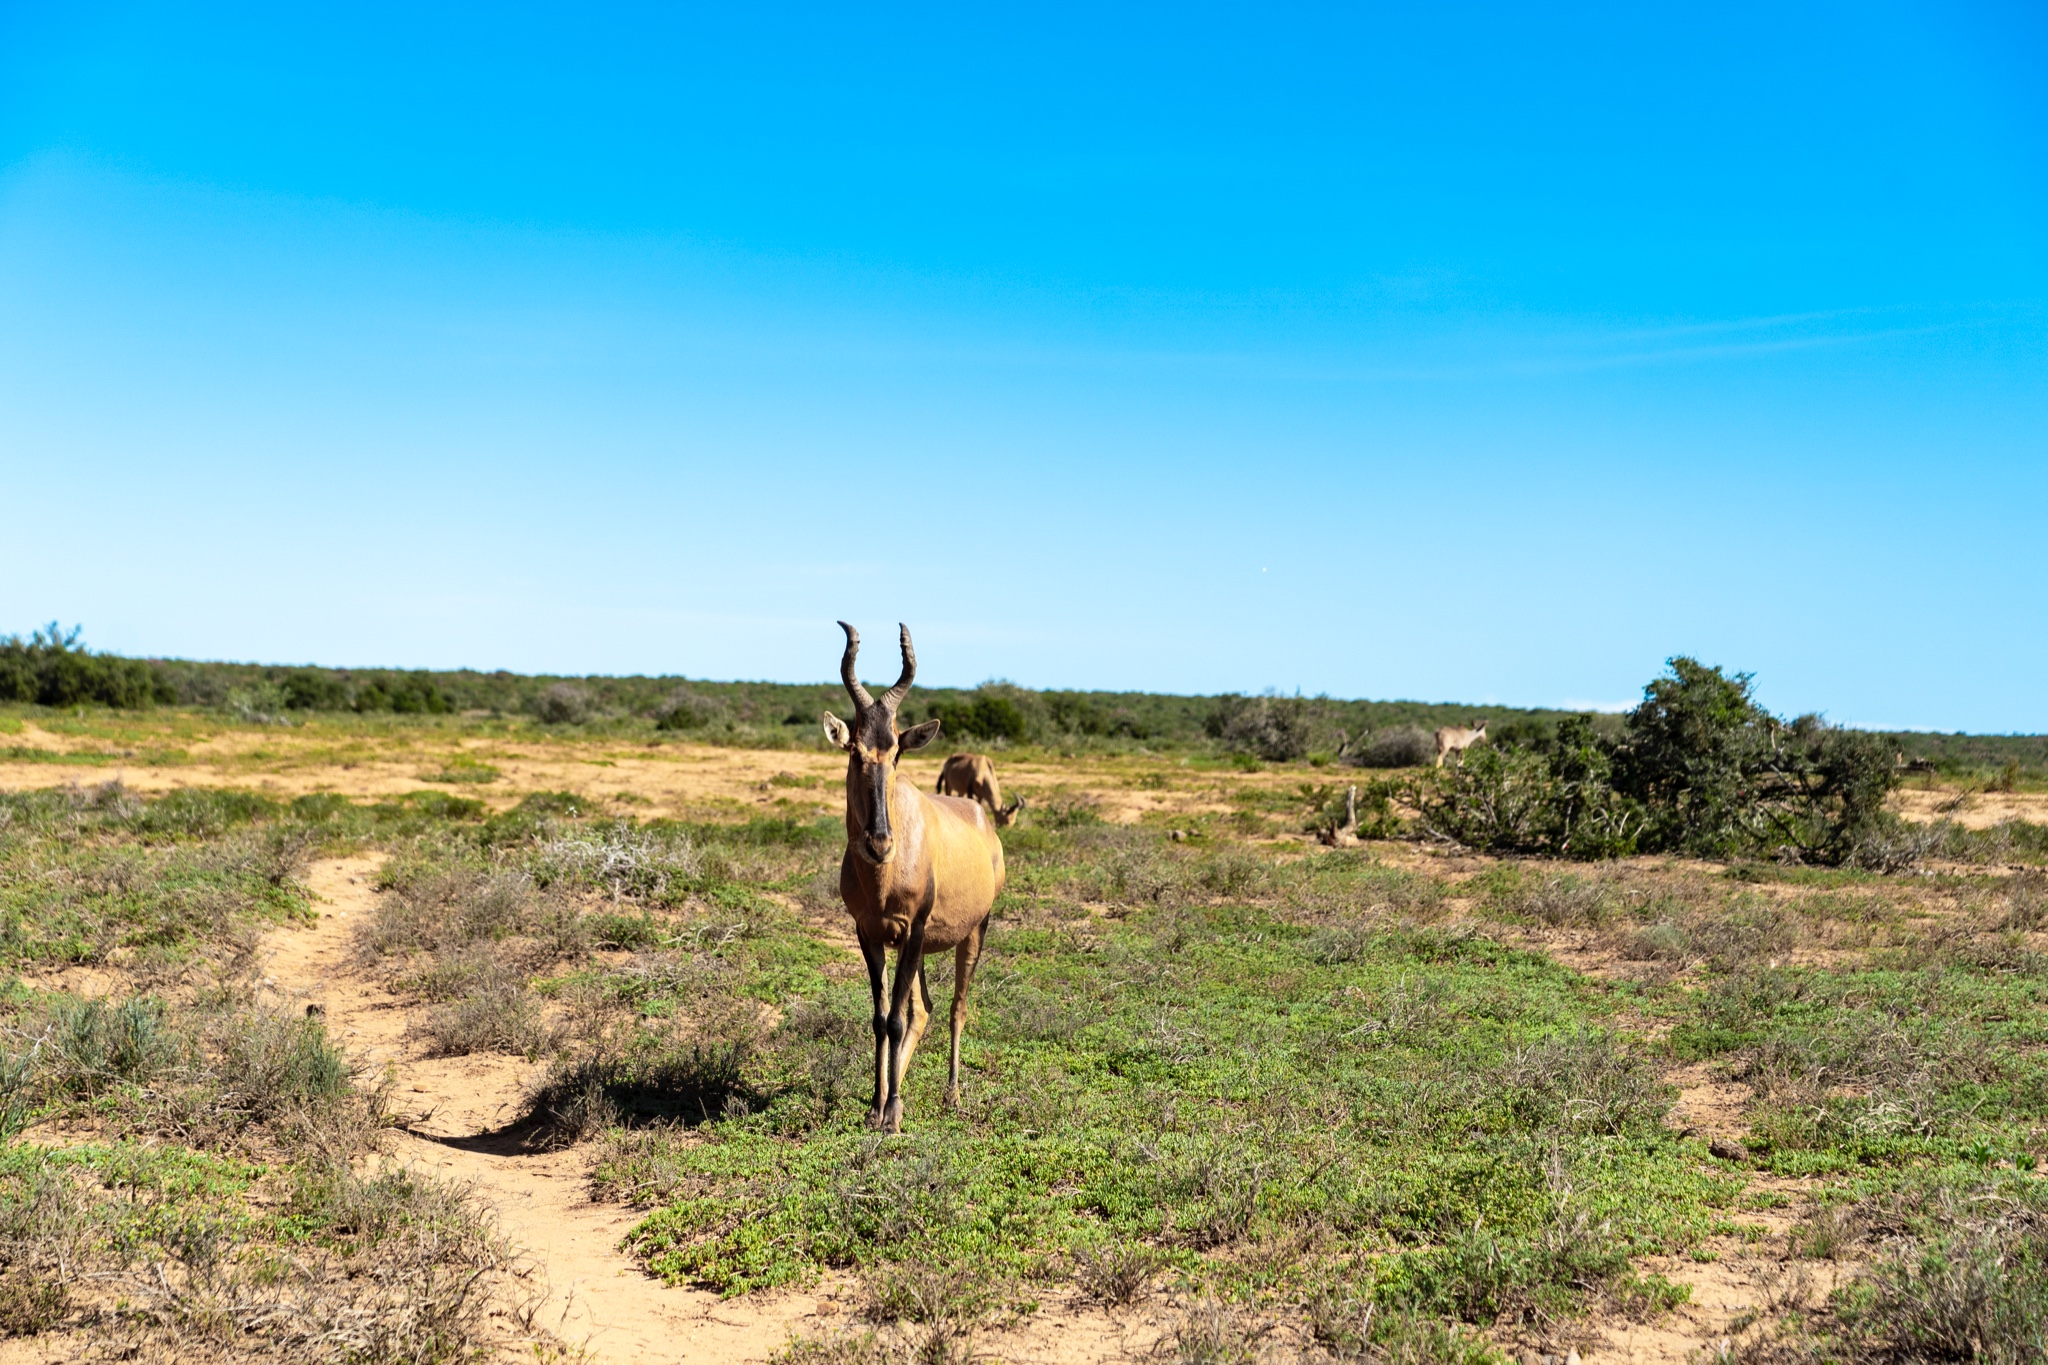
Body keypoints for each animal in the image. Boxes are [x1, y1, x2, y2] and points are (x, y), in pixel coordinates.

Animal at [819, 626, 1003, 1137]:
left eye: (897, 752)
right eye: (855, 751)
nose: (880, 842)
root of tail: (982, 818)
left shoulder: (913, 930)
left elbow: (898, 1019)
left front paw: (894, 1114)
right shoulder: (871, 934)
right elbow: (883, 1018)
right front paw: (876, 1106)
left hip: (973, 931)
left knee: (957, 1008)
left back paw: (952, 1095)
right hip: (916, 946)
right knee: (923, 1009)